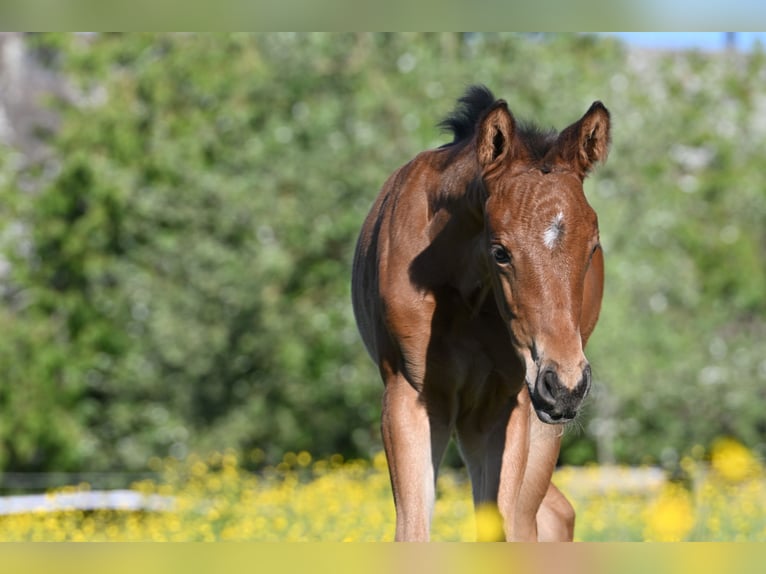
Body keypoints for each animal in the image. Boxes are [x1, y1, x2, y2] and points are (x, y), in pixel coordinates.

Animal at [351, 85, 609, 541]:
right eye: (500, 251)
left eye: (592, 247)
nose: (565, 384)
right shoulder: (409, 395)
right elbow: (413, 532)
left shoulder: (506, 406)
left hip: (537, 423)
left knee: (537, 517)